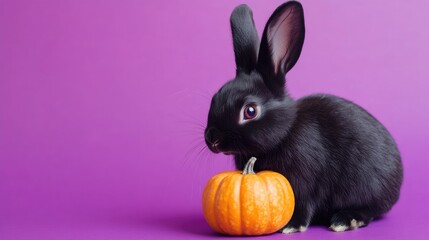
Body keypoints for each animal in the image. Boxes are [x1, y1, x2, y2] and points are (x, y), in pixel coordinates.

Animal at [204, 0, 402, 232]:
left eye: (250, 111)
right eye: (216, 97)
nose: (212, 138)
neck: (284, 133)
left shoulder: (306, 181)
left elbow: (304, 203)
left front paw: (291, 226)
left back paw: (346, 220)